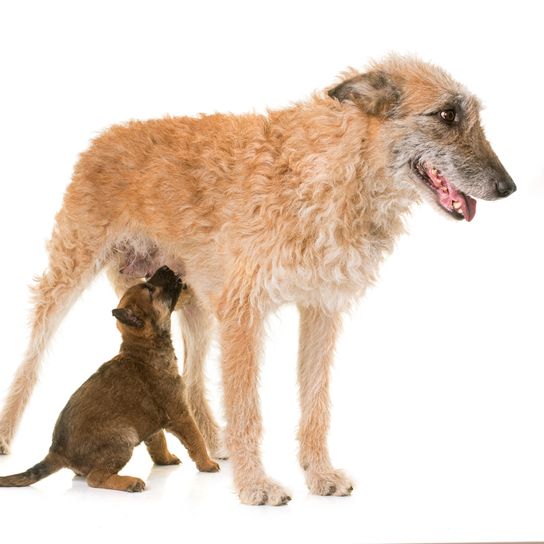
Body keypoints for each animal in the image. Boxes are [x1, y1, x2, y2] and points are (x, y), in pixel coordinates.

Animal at [0, 268, 219, 492]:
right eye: (149, 289)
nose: (165, 268)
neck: (142, 349)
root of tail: (57, 453)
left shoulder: (152, 423)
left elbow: (158, 442)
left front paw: (165, 459)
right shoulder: (180, 413)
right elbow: (196, 439)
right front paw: (207, 464)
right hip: (125, 437)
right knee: (96, 478)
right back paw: (130, 482)